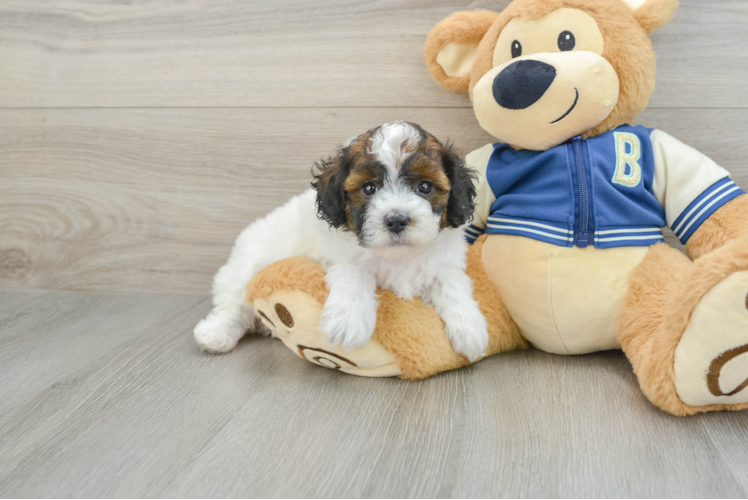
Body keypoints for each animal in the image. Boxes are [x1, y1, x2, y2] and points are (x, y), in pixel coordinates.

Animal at [193, 123, 490, 362]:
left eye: (425, 187)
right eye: (369, 188)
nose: (396, 220)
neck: (397, 256)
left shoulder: (444, 262)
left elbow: (451, 284)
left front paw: (471, 328)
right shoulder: (341, 255)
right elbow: (355, 272)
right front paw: (349, 320)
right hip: (246, 267)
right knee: (234, 306)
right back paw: (216, 334)